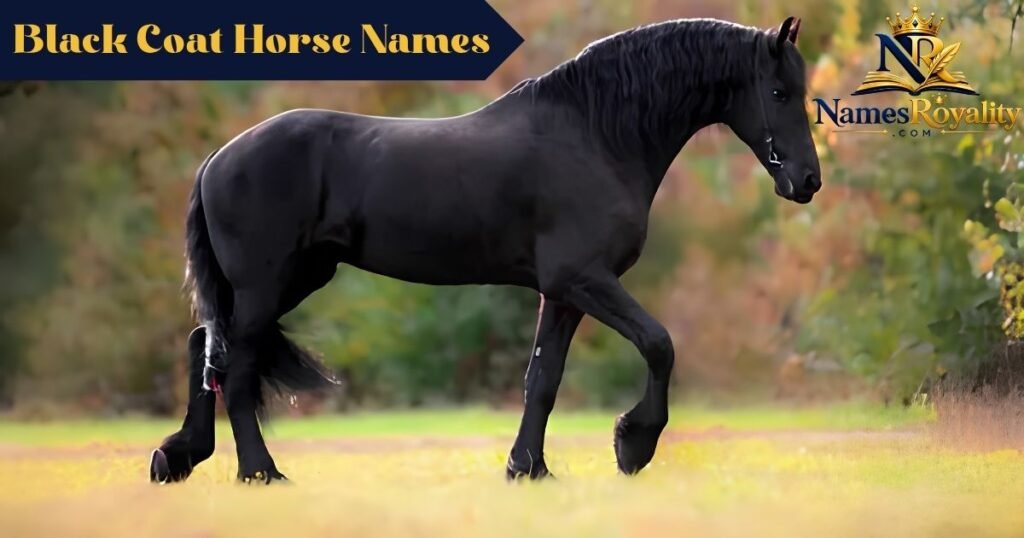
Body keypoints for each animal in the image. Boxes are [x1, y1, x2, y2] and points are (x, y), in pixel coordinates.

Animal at [149, 16, 819, 484]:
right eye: (779, 92)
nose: (807, 181)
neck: (594, 135)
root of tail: (217, 160)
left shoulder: (563, 293)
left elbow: (543, 379)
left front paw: (528, 468)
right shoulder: (584, 279)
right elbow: (659, 343)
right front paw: (633, 444)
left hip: (291, 280)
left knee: (205, 346)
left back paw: (177, 457)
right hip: (267, 284)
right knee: (233, 368)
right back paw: (260, 472)